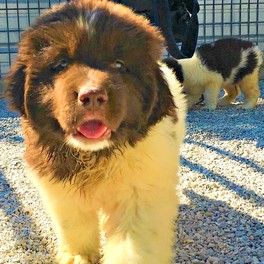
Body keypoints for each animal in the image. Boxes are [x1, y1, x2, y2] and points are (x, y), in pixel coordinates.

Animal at [4, 0, 186, 264]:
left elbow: (133, 246)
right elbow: (76, 229)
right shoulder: (64, 192)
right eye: (61, 64)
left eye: (119, 65)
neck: (94, 156)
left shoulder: (139, 196)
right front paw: (78, 257)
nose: (91, 95)